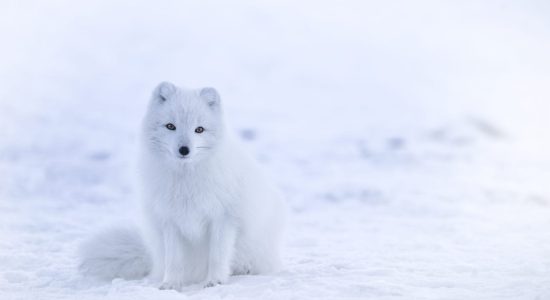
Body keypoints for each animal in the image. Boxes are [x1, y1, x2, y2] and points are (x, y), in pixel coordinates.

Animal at [82, 81, 292, 290]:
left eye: (199, 129)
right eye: (170, 126)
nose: (184, 149)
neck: (186, 181)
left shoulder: (223, 218)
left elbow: (217, 256)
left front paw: (215, 281)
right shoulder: (170, 220)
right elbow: (174, 260)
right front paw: (171, 284)